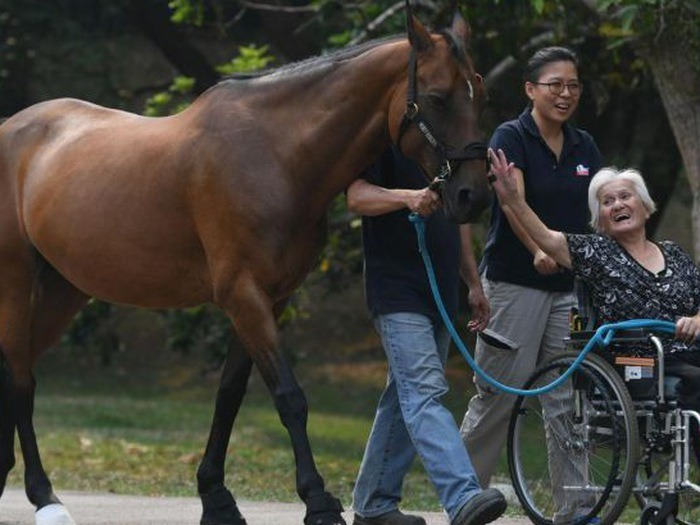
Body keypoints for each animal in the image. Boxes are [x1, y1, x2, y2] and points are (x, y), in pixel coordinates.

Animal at [0, 4, 490, 524]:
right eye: (437, 98)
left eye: (479, 92)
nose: (473, 197)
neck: (275, 155)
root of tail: (12, 127)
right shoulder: (243, 295)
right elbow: (289, 397)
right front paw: (318, 501)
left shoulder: (269, 299)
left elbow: (229, 395)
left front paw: (216, 497)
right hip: (15, 283)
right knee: (22, 381)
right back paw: (45, 497)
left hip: (62, 291)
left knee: (14, 371)